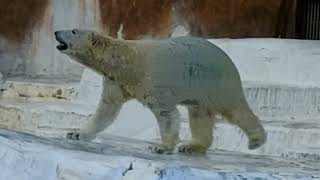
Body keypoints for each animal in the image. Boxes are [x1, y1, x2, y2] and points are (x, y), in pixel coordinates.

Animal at [55, 28, 268, 154]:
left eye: (73, 31)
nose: (56, 31)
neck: (126, 62)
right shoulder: (116, 82)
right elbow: (106, 110)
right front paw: (76, 134)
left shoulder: (152, 81)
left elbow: (166, 115)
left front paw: (160, 146)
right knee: (199, 115)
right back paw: (192, 146)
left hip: (215, 83)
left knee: (235, 110)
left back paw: (256, 141)